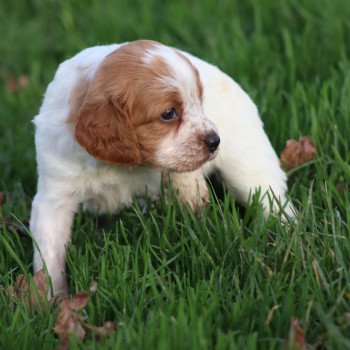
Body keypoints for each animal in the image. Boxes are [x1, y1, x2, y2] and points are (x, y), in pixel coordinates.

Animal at [30, 39, 294, 296]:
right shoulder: (54, 196)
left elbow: (187, 185)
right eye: (168, 113)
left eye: (201, 102)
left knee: (273, 201)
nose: (215, 141)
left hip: (248, 168)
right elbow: (49, 255)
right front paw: (51, 298)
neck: (119, 165)